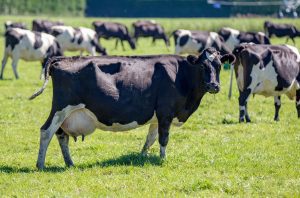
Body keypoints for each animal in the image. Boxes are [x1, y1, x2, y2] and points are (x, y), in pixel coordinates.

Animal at [29, 47, 236, 169]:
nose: (214, 86)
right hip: (61, 107)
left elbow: (150, 139)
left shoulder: (157, 116)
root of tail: (61, 59)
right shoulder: (166, 112)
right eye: (202, 66)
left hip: (66, 114)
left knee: (61, 136)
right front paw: (163, 160)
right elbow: (163, 139)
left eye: (219, 65)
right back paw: (40, 165)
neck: (181, 75)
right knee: (46, 131)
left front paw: (142, 156)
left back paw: (70, 163)